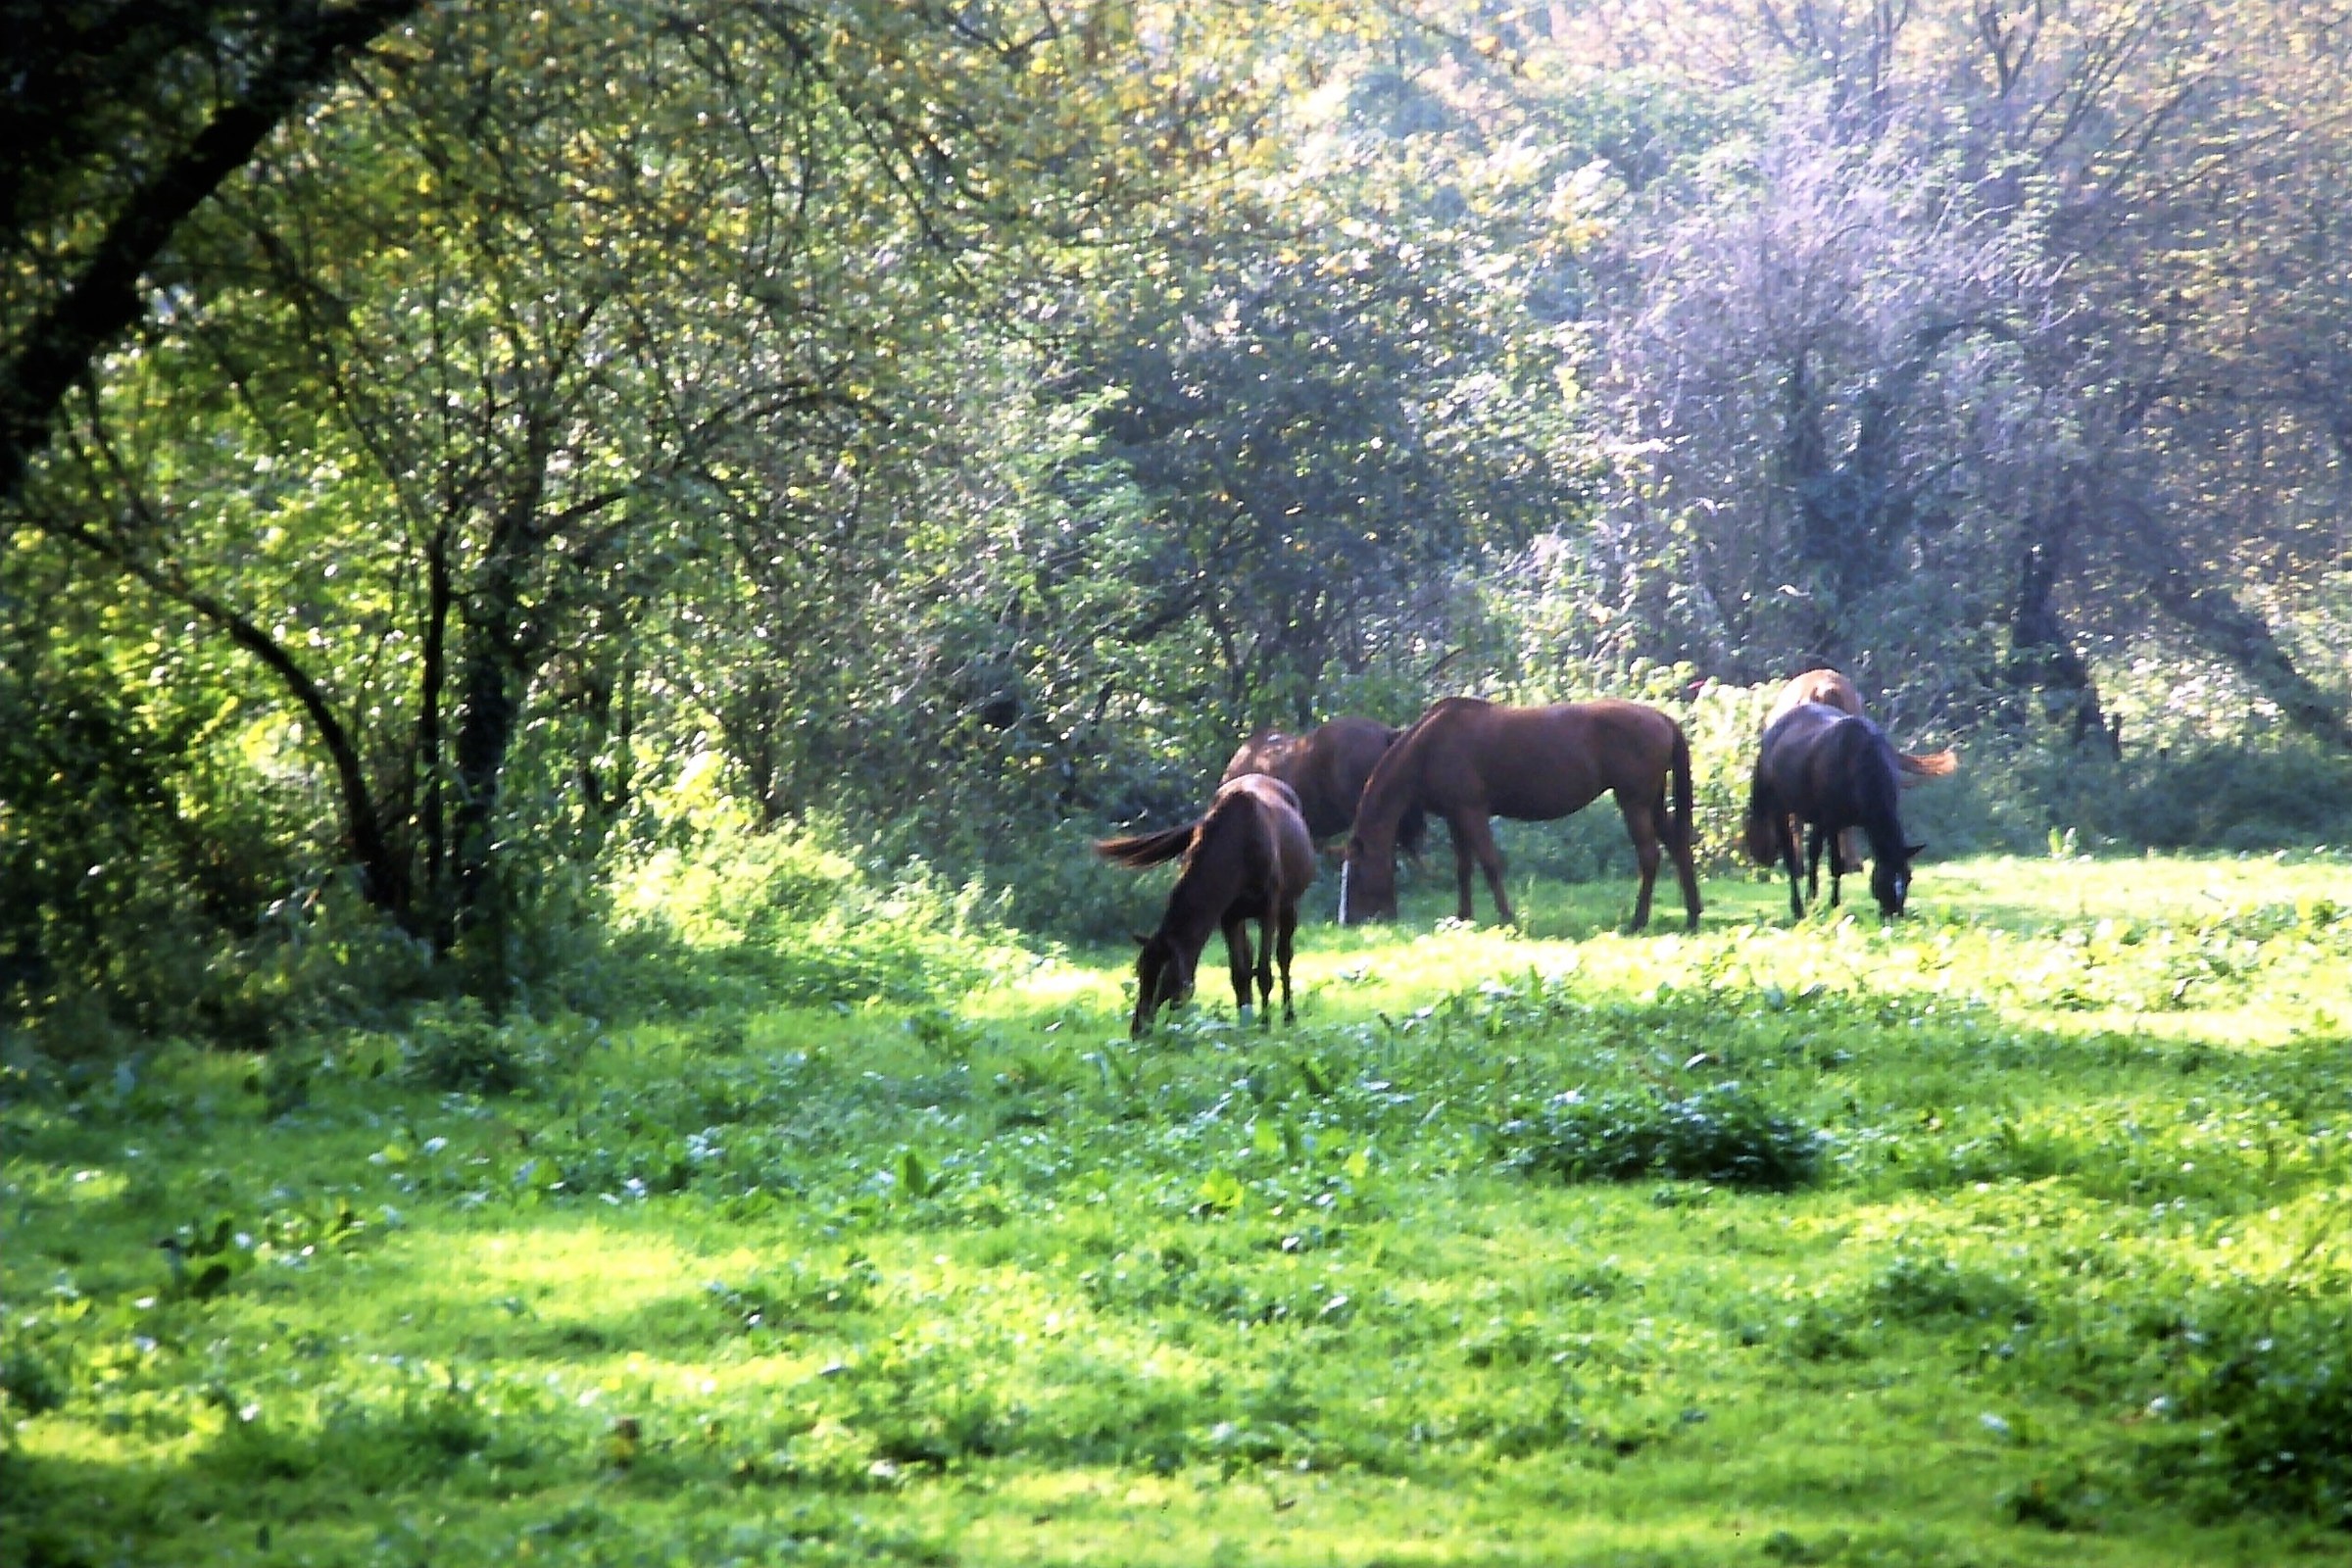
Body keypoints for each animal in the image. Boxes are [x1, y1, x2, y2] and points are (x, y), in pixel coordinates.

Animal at [1094, 773, 1317, 1037]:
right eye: (1140, 972)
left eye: (1166, 978)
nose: (1138, 1030)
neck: (1238, 847)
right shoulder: (1228, 915)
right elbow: (1239, 974)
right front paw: (1244, 1024)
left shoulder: (1268, 908)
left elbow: (1264, 973)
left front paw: (1264, 1026)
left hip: (1289, 904)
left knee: (1284, 957)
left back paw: (1288, 1017)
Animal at [1339, 697, 1702, 932]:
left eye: (1356, 873)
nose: (1349, 921)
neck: (1430, 746)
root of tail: (1662, 718)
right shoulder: (1456, 817)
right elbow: (1464, 868)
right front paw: (1463, 918)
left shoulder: (1472, 811)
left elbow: (1489, 864)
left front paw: (1507, 918)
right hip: (1651, 803)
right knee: (1677, 846)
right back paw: (1692, 916)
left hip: (1634, 803)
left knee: (1650, 857)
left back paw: (1638, 921)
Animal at [1746, 701, 1925, 919]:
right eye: (1886, 878)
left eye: (1908, 878)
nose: (1895, 914)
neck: (1860, 760)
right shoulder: (1833, 822)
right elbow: (1836, 865)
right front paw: (1835, 905)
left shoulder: (1834, 822)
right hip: (1781, 811)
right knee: (1791, 858)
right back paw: (1799, 908)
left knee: (1813, 850)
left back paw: (1812, 899)